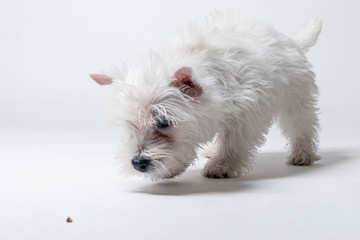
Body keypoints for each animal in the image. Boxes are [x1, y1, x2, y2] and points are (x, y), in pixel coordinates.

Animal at [91, 12, 322, 179]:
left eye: (164, 122)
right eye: (129, 124)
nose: (138, 163)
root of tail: (292, 41)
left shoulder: (246, 113)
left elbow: (234, 142)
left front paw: (222, 165)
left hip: (295, 98)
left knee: (301, 125)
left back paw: (302, 155)